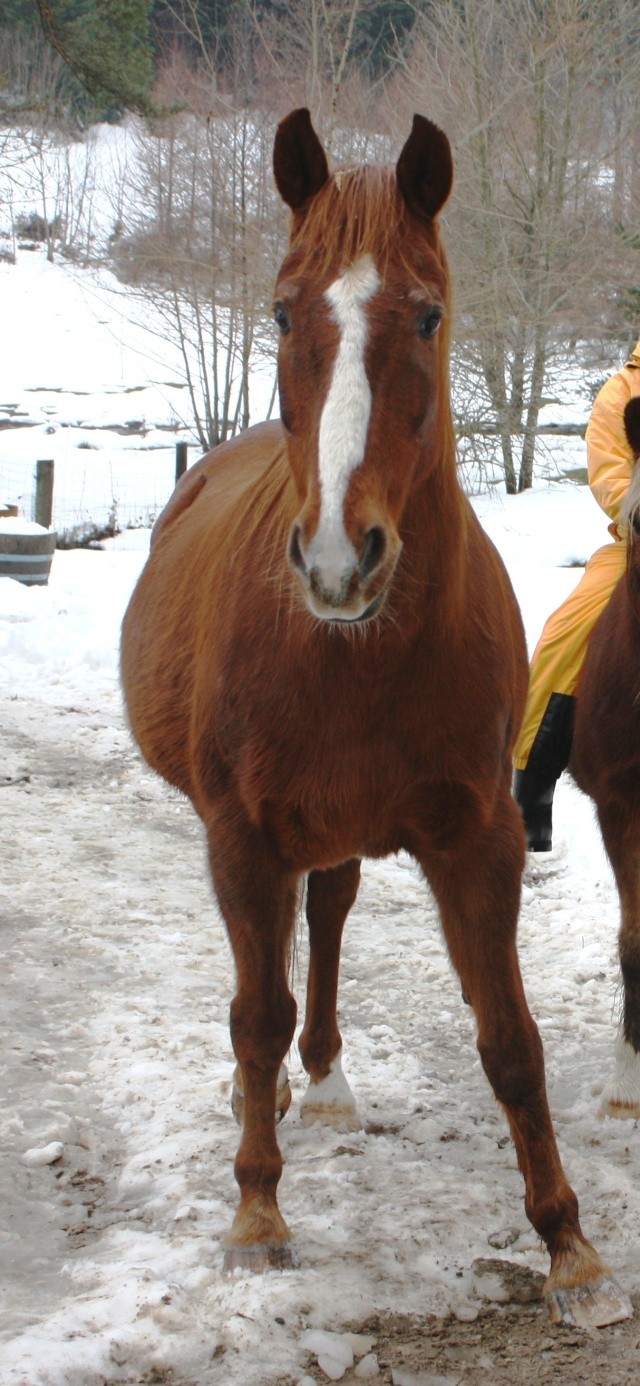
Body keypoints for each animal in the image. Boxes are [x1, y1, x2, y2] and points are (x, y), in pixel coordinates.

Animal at [121, 110, 628, 1330]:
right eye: (280, 309)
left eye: (429, 312)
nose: (339, 560)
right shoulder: (243, 838)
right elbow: (254, 1012)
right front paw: (257, 1218)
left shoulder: (481, 836)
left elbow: (512, 1041)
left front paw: (569, 1246)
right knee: (285, 960)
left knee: (333, 911)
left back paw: (329, 1080)